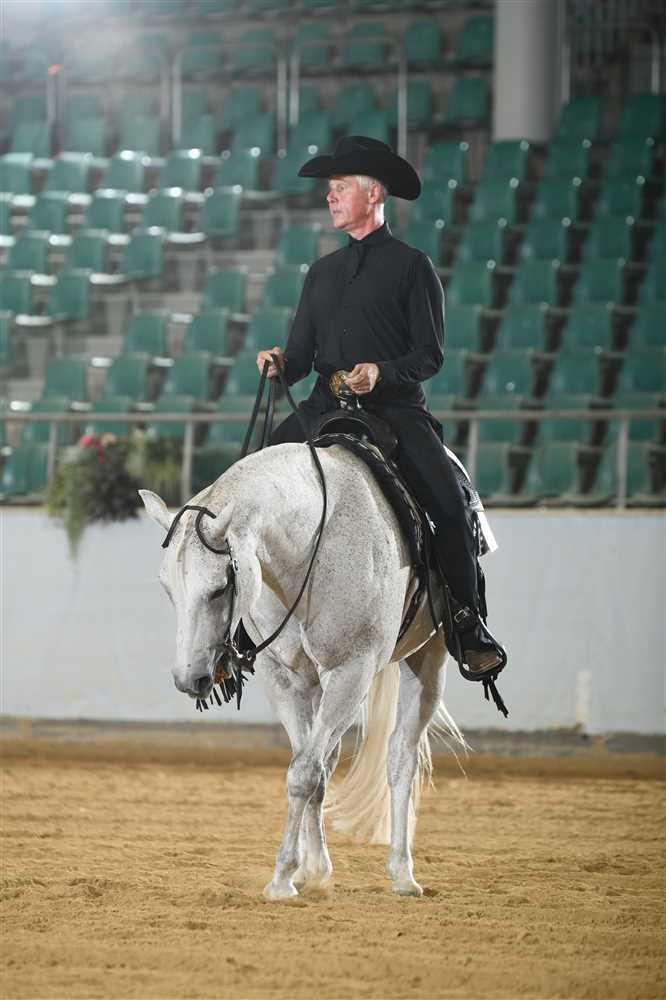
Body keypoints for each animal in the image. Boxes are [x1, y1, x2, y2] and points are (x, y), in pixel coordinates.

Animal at [140, 439, 467, 900]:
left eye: (220, 588)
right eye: (169, 589)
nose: (190, 678)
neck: (315, 543)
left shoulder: (351, 672)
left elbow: (304, 773)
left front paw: (281, 878)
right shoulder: (286, 680)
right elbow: (309, 769)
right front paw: (311, 871)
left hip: (427, 658)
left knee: (401, 760)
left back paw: (403, 873)